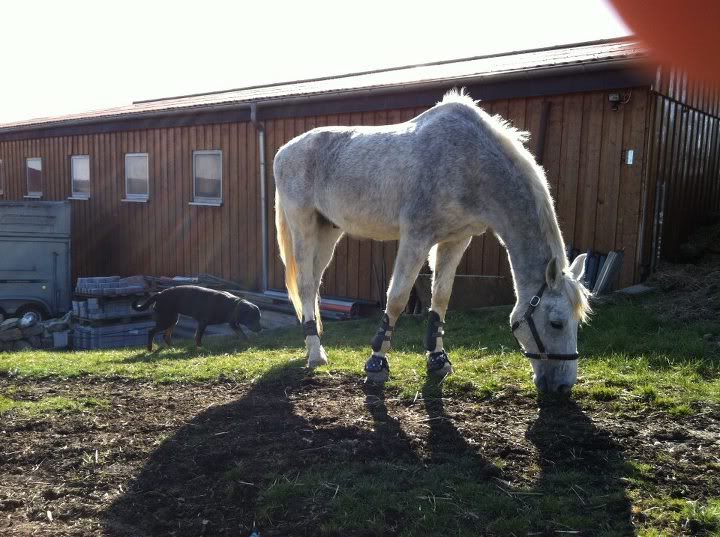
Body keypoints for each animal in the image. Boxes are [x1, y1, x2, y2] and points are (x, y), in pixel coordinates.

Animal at [272, 90, 588, 394]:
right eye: (556, 323)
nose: (563, 386)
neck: (470, 162)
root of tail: (284, 152)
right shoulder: (416, 237)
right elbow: (397, 298)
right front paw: (376, 364)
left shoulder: (457, 240)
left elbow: (441, 297)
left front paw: (438, 361)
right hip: (304, 228)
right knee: (306, 285)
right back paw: (315, 354)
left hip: (329, 231)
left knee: (314, 285)